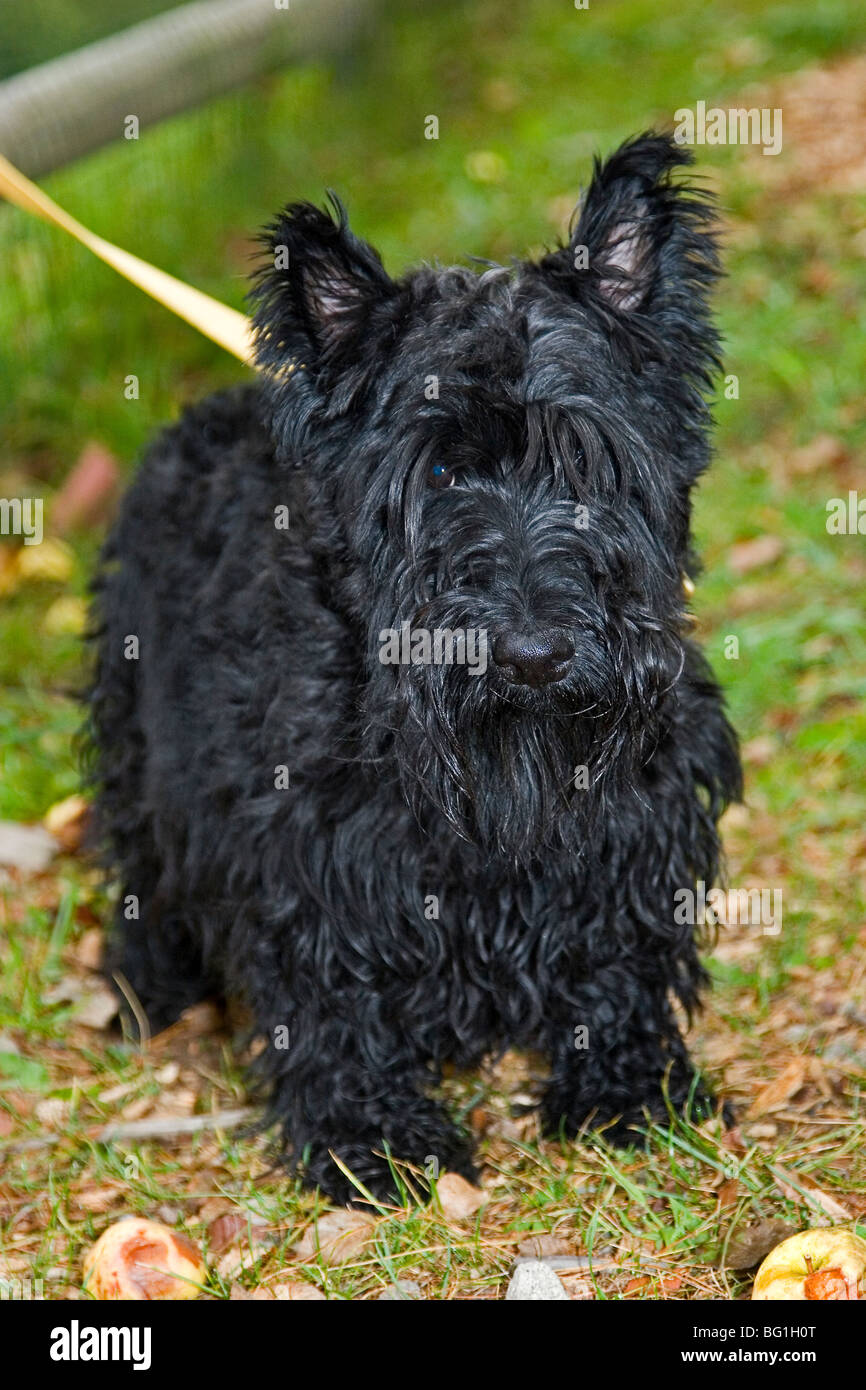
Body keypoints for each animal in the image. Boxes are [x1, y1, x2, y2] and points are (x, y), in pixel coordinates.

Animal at [86, 135, 739, 1212]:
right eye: (436, 474)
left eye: (587, 462)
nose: (533, 655)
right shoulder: (306, 853)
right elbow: (332, 997)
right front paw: (375, 1137)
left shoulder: (632, 820)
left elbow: (620, 952)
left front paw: (626, 1086)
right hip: (134, 737)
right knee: (142, 866)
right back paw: (155, 987)